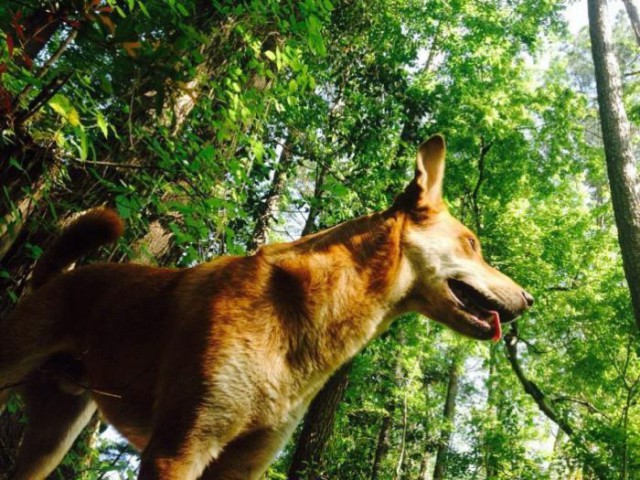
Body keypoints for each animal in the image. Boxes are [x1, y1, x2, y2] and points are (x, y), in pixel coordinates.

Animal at [0, 135, 528, 480]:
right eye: (472, 243)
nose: (529, 298)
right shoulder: (178, 449)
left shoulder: (241, 466)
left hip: (52, 439)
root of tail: (58, 277)